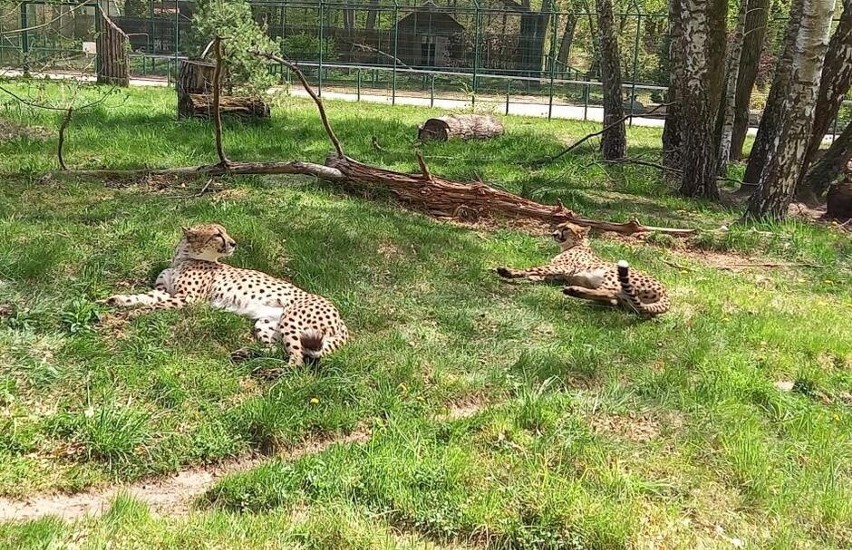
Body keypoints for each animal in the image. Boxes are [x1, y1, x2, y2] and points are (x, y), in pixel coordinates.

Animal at [101, 224, 348, 366]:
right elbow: (140, 297)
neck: (183, 258)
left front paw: (135, 314)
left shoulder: (188, 299)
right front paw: (116, 300)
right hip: (266, 322)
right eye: (217, 234)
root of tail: (341, 320)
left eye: (225, 232)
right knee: (278, 349)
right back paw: (246, 354)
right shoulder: (162, 291)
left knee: (298, 359)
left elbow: (153, 306)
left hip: (291, 319)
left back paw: (276, 373)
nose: (234, 243)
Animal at [496, 223, 668, 316]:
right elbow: (540, 274)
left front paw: (509, 271)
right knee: (615, 300)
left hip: (612, 275)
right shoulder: (559, 273)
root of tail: (665, 290)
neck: (574, 244)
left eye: (566, 229)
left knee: (611, 293)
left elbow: (533, 268)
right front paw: (533, 277)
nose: (553, 234)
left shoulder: (561, 267)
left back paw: (574, 290)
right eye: (557, 227)